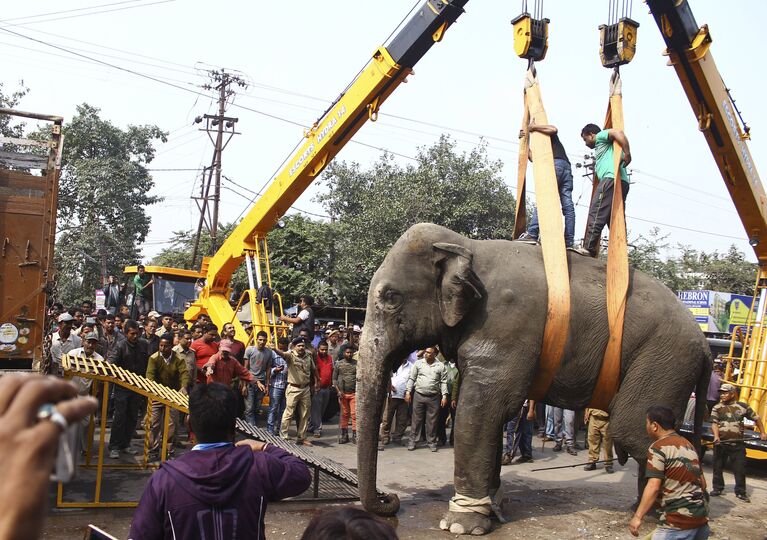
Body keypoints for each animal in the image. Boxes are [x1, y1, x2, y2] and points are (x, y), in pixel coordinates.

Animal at [356, 224, 712, 536]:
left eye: (390, 297)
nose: (390, 498)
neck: (468, 246)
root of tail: (706, 345)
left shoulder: (504, 325)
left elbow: (480, 410)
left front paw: (461, 525)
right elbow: (494, 416)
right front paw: (496, 506)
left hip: (664, 359)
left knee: (634, 429)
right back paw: (648, 511)